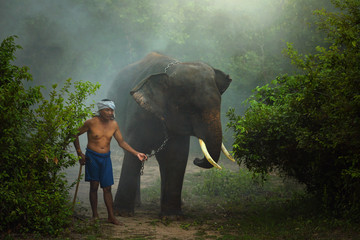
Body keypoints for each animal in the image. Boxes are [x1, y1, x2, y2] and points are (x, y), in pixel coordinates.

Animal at [108, 52, 235, 218]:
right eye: (192, 109)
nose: (196, 160)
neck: (171, 71)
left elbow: (177, 155)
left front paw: (172, 216)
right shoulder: (138, 114)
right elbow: (134, 148)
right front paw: (122, 212)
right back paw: (137, 205)